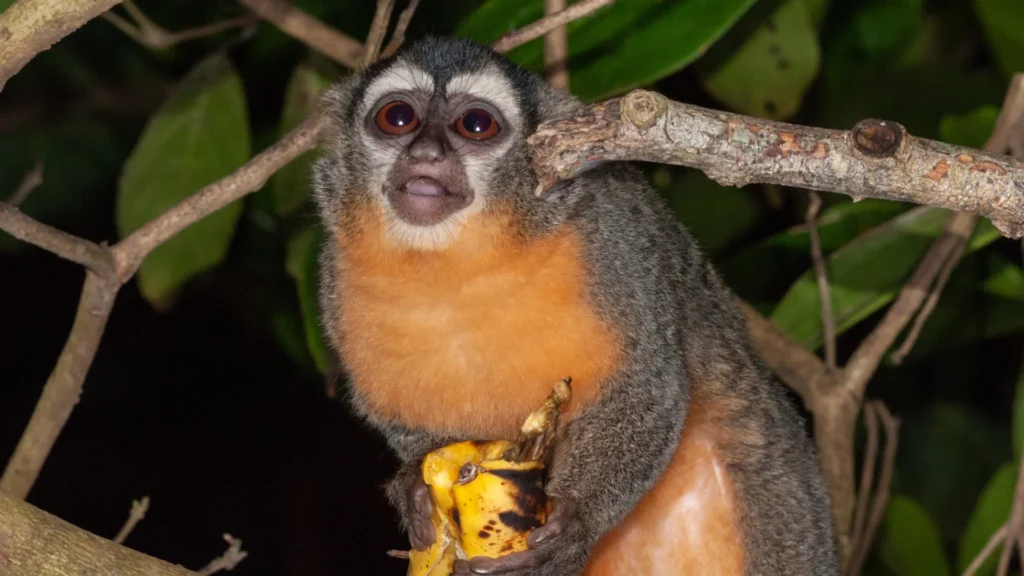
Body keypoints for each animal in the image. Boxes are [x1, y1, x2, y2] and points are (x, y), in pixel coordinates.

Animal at [312, 36, 838, 575]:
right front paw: (415, 489)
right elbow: (408, 424)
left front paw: (577, 525)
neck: (457, 257)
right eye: (397, 117)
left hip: (783, 501)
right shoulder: (334, 280)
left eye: (475, 125)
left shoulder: (613, 237)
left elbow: (646, 385)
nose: (426, 151)